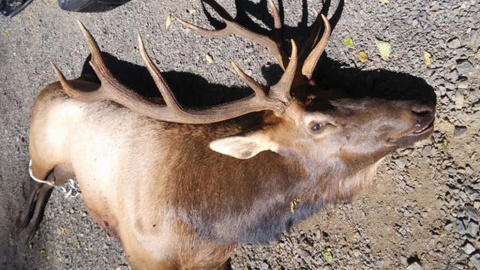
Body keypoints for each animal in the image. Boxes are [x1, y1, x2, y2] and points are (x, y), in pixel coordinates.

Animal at [16, 1, 436, 268]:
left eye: (338, 89)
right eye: (316, 124)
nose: (422, 109)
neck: (215, 228)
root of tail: (59, 85)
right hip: (42, 148)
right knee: (35, 180)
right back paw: (25, 223)